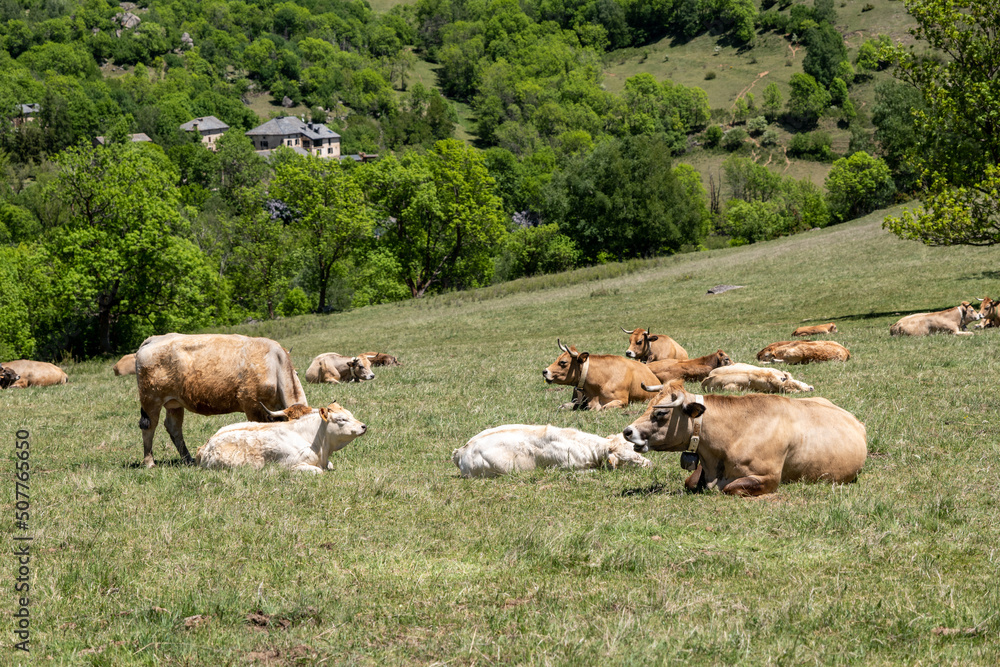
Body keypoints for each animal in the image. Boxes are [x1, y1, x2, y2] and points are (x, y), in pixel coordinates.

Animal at [135, 333, 309, 468]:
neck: (274, 365)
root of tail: (153, 339)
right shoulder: (251, 406)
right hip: (151, 400)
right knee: (149, 427)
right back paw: (149, 462)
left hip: (174, 403)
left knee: (174, 428)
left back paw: (188, 459)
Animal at [196, 402, 366, 473]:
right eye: (341, 419)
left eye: (350, 415)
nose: (364, 426)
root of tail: (205, 446)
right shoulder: (292, 466)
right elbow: (318, 471)